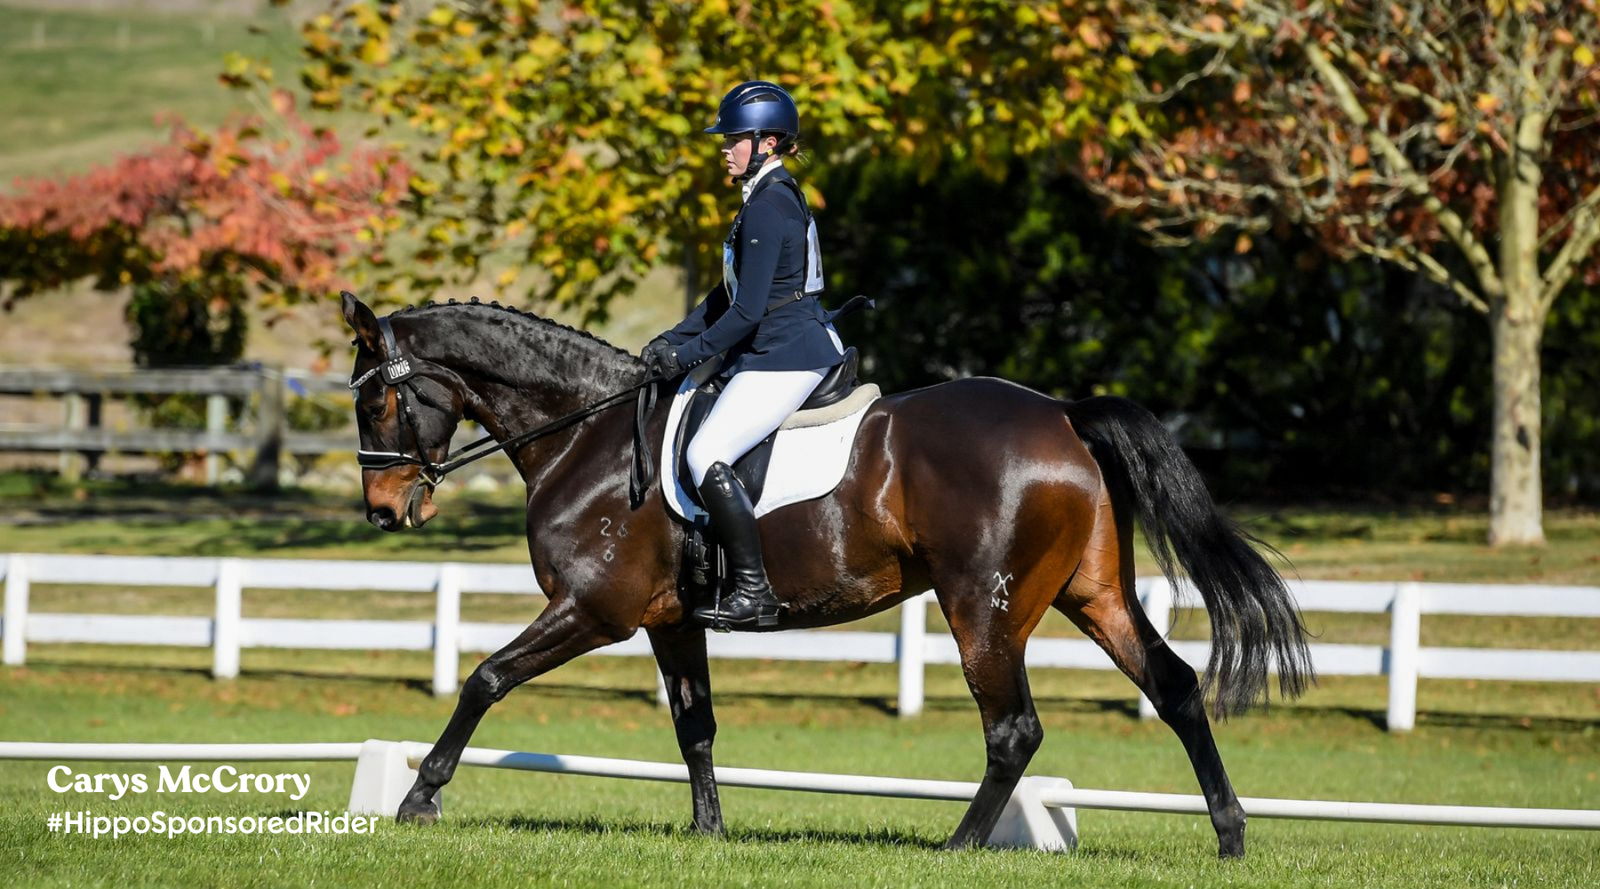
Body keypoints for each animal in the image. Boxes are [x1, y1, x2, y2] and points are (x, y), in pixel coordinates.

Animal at [340, 291, 1312, 859]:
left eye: (375, 397)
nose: (385, 510)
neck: (588, 432)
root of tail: (1064, 414)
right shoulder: (670, 620)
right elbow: (695, 725)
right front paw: (709, 833)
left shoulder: (591, 610)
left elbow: (484, 677)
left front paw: (419, 798)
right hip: (1093, 592)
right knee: (1175, 686)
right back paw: (1230, 836)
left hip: (983, 606)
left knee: (1014, 730)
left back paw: (959, 847)